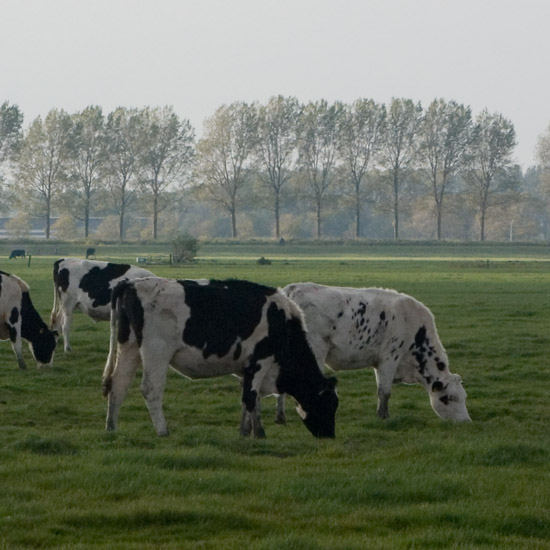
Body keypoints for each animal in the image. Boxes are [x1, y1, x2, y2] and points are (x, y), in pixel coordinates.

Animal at [101, 280, 338, 440]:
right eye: (328, 404)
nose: (329, 436)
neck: (283, 324)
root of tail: (131, 283)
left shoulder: (246, 369)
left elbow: (248, 399)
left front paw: (247, 431)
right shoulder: (261, 360)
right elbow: (251, 397)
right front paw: (255, 434)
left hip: (129, 346)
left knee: (118, 384)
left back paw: (111, 428)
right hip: (156, 351)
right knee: (151, 389)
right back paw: (162, 431)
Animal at [282, 282, 472, 424]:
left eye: (464, 397)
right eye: (448, 398)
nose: (466, 421)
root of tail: (292, 290)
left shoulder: (378, 363)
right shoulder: (390, 358)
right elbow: (384, 391)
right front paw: (383, 416)